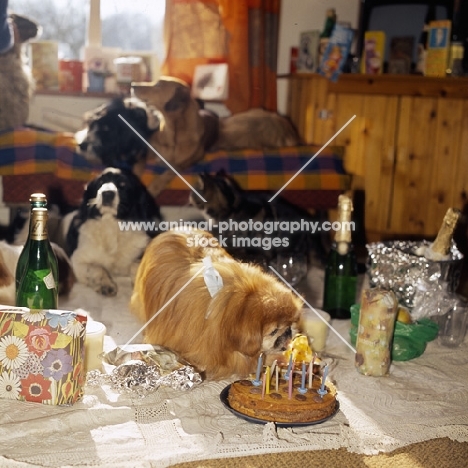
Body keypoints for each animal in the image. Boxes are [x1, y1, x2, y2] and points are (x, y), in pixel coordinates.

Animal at [66, 167, 161, 296]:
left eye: (123, 185)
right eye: (100, 183)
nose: (107, 193)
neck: (112, 225)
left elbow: (135, 264)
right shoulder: (77, 259)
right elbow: (96, 268)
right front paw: (105, 285)